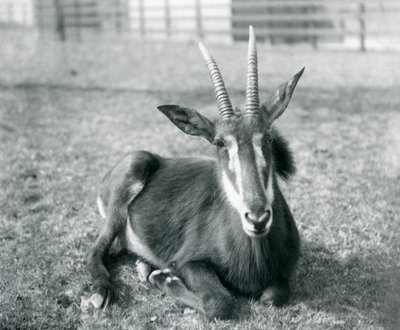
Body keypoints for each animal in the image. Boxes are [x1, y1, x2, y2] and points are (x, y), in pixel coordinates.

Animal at [88, 26, 304, 320]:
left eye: (268, 137)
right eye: (220, 142)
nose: (257, 218)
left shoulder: (283, 274)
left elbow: (273, 296)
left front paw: (157, 275)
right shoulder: (189, 261)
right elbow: (219, 303)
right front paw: (163, 278)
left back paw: (144, 266)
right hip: (125, 190)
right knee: (96, 250)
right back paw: (105, 290)